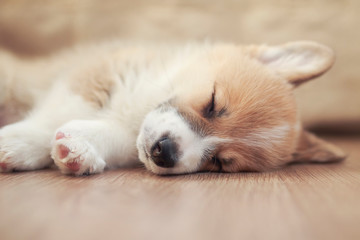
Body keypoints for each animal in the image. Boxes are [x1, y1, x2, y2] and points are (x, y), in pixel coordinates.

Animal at [0, 41, 344, 175]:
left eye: (220, 162)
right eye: (212, 102)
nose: (163, 152)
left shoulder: (129, 136)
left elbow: (116, 138)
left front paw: (80, 151)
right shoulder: (92, 79)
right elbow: (53, 115)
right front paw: (16, 143)